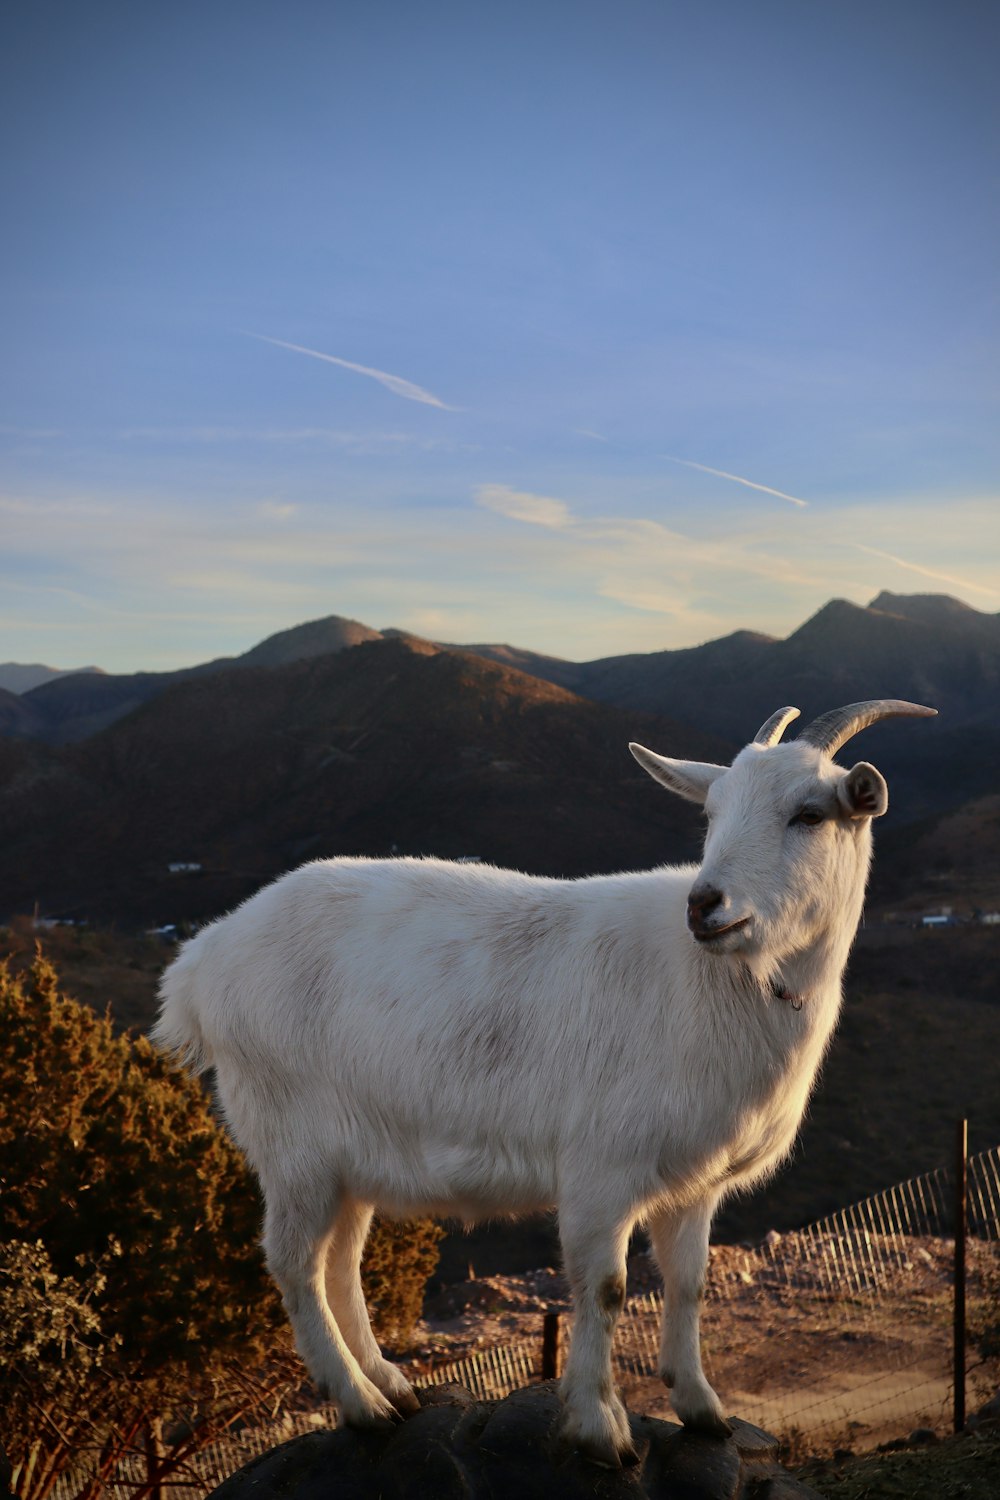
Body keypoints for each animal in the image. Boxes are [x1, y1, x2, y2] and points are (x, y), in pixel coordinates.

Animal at [152, 699, 935, 1464]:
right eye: (711, 813)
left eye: (810, 813)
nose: (704, 905)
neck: (722, 983)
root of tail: (202, 959)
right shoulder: (600, 1167)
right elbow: (606, 1288)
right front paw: (599, 1427)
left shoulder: (695, 1180)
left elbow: (689, 1282)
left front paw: (702, 1410)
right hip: (291, 1139)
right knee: (295, 1263)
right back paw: (361, 1405)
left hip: (349, 1154)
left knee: (341, 1260)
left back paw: (392, 1386)